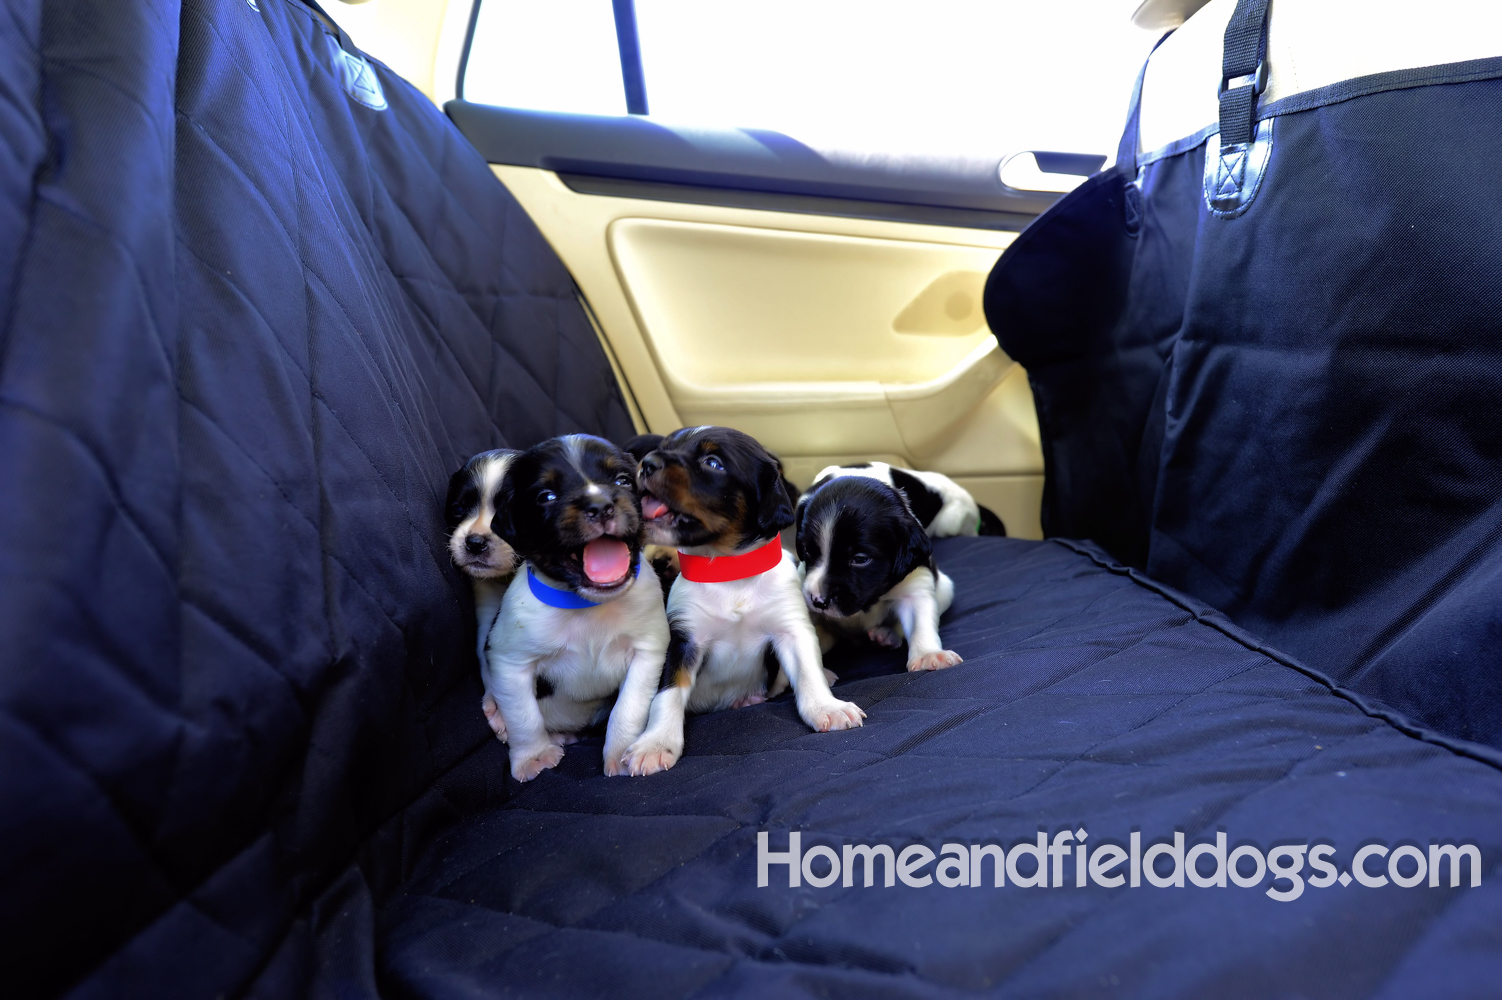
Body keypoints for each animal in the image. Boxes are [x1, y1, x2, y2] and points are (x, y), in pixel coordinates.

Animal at [483, 432, 666, 780]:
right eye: (546, 496)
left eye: (623, 481)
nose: (601, 505)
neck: (587, 605)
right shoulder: (511, 661)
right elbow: (523, 716)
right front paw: (533, 756)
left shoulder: (647, 651)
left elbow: (628, 707)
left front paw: (621, 753)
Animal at [615, 423, 865, 774]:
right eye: (665, 447)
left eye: (713, 463)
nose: (647, 464)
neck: (728, 570)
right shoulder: (683, 639)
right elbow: (668, 693)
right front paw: (656, 742)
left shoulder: (791, 628)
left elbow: (807, 671)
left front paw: (826, 707)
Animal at [799, 465, 973, 669]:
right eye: (807, 551)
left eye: (860, 559)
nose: (818, 600)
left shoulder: (915, 582)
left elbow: (919, 622)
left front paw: (928, 654)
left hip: (945, 590)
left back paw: (886, 634)